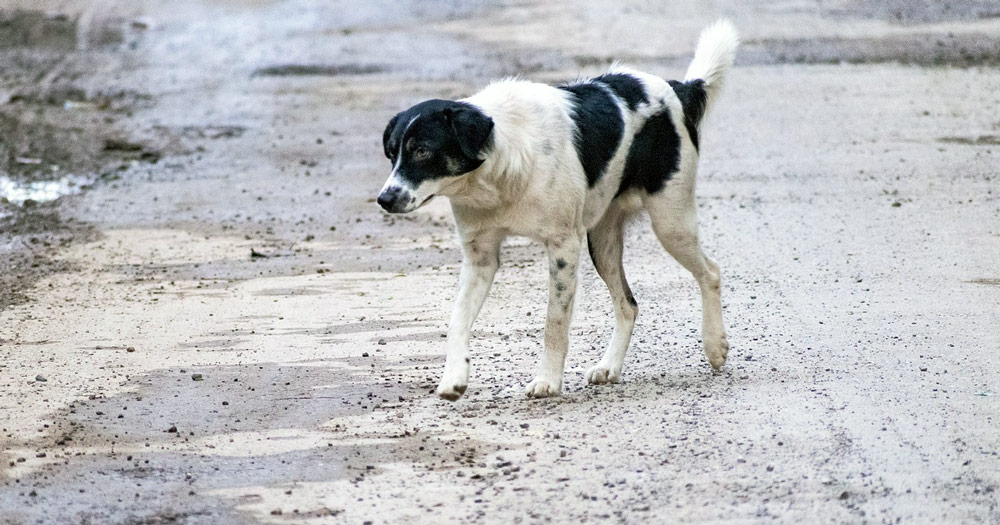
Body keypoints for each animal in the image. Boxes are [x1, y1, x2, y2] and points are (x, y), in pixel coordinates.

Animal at [378, 19, 740, 398]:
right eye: (391, 153)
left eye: (422, 150)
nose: (384, 199)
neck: (497, 170)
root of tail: (677, 88)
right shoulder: (480, 258)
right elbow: (457, 319)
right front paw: (454, 377)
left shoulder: (564, 246)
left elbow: (555, 322)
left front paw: (548, 381)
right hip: (603, 241)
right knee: (628, 304)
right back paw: (610, 366)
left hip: (671, 222)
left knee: (710, 272)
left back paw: (715, 345)